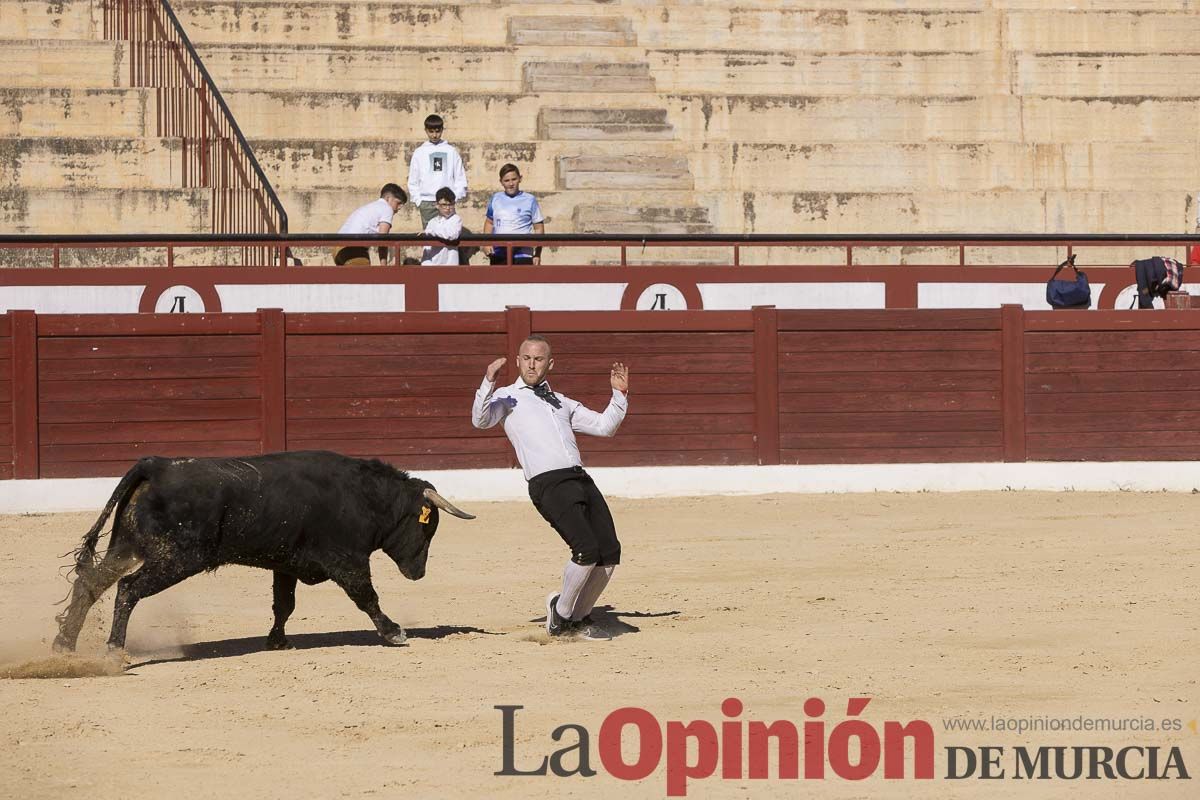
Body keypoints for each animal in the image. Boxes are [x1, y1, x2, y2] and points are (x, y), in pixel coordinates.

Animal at [52, 453, 472, 652]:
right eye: (427, 526)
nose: (418, 572)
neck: (365, 498)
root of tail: (156, 466)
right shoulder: (347, 561)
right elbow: (367, 597)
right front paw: (394, 632)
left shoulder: (286, 564)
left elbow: (283, 604)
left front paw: (278, 641)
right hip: (176, 558)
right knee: (127, 589)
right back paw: (112, 649)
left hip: (127, 547)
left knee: (91, 583)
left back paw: (64, 644)